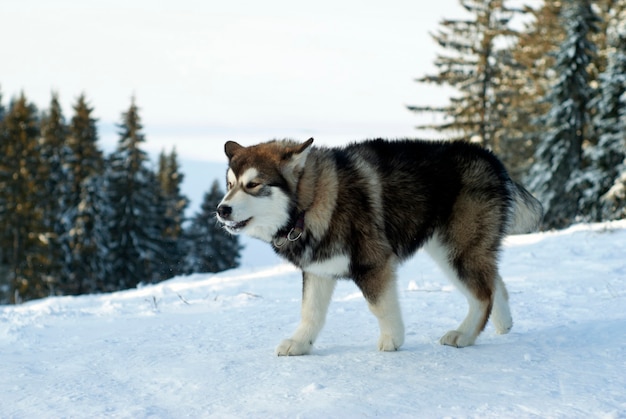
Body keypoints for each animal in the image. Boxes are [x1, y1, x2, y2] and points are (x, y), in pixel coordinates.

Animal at [216, 139, 540, 356]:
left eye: (253, 184)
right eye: (230, 185)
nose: (221, 209)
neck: (311, 204)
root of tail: (488, 156)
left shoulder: (373, 261)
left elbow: (379, 305)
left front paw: (393, 339)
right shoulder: (318, 269)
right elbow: (310, 311)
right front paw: (300, 343)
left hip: (456, 248)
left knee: (482, 294)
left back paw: (465, 334)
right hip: (449, 248)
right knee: (493, 281)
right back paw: (503, 322)